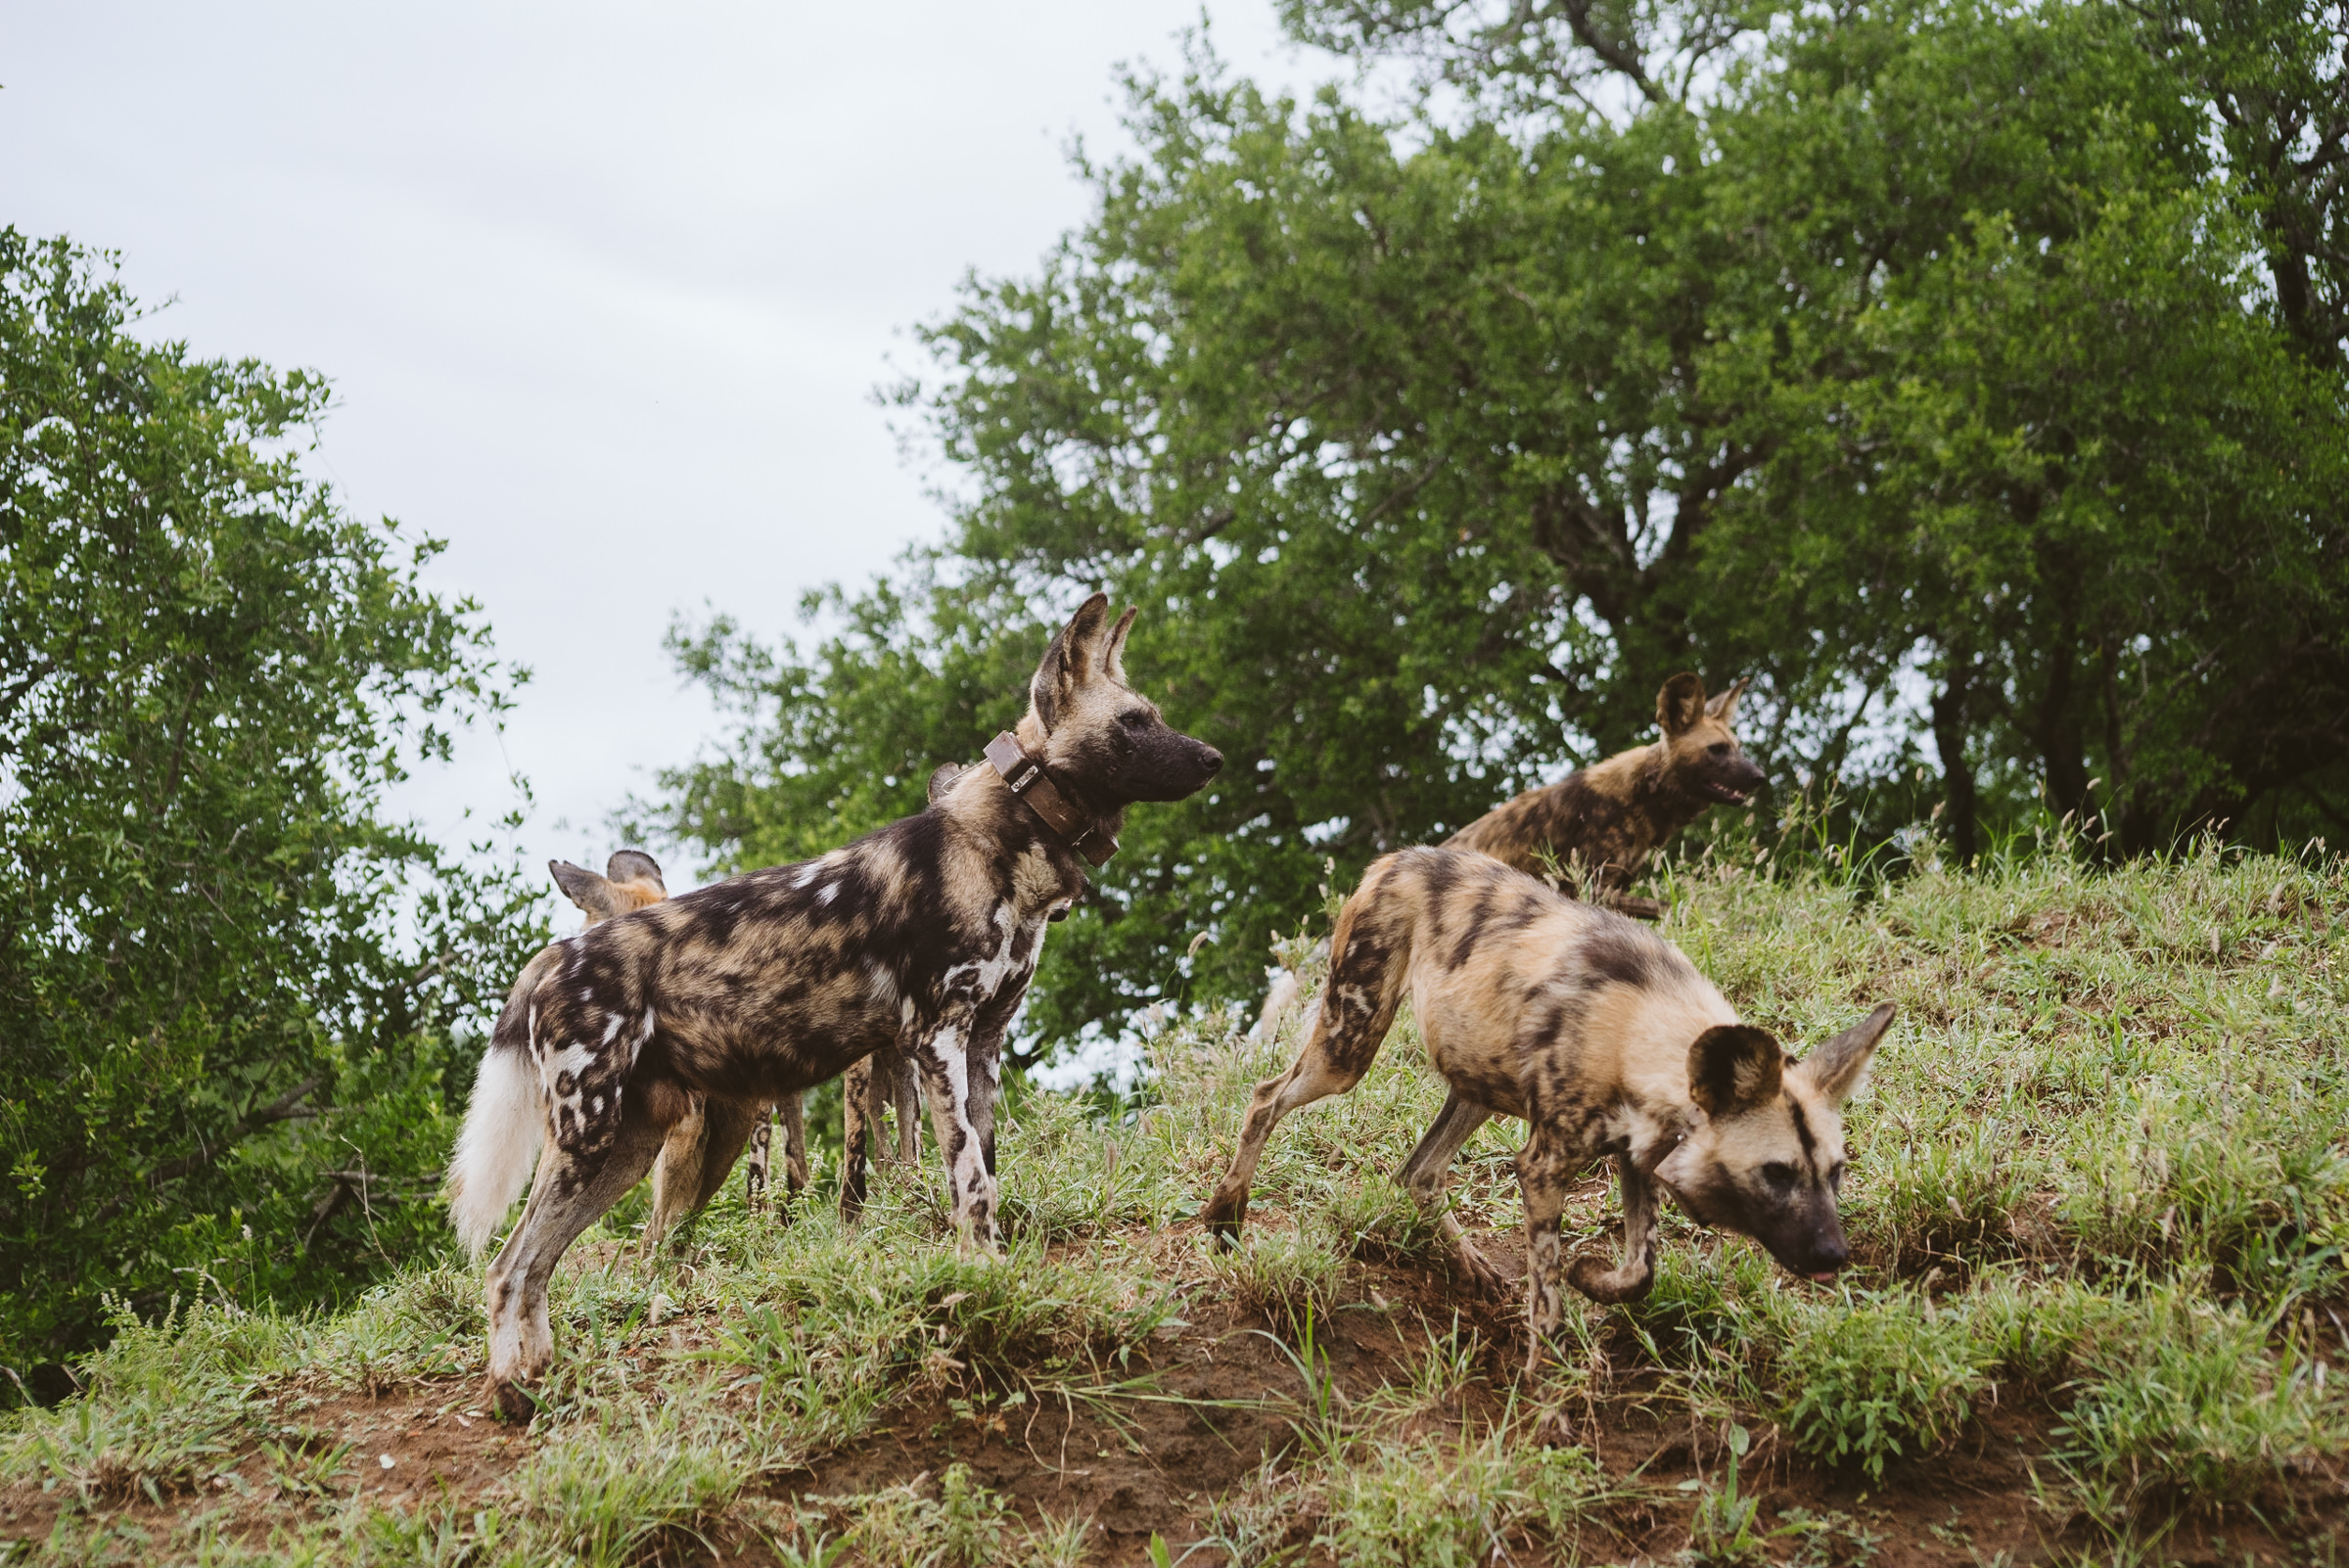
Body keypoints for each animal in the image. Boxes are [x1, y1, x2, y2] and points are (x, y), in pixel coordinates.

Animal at [441, 593, 1221, 1417]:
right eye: (1133, 721)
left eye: (1154, 714)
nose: (1214, 759)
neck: (1004, 840)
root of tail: (560, 949)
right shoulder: (937, 1042)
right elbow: (970, 1183)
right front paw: (982, 1283)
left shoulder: (982, 1049)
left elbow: (986, 1175)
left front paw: (998, 1275)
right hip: (596, 1138)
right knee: (507, 1266)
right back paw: (511, 1395)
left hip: (629, 1148)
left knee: (531, 1266)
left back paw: (534, 1389)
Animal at [1212, 840, 1888, 1360]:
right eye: (1776, 1174)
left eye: (1836, 1172)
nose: (1836, 1254)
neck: (1638, 1032)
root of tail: (1398, 857)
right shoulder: (1542, 1168)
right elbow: (1547, 1303)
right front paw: (1545, 1393)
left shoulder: (1637, 1156)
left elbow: (1638, 1271)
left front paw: (1592, 1277)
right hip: (1348, 1050)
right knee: (1265, 1098)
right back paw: (1226, 1215)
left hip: (1477, 1084)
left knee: (1417, 1173)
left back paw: (1469, 1263)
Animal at [1447, 675, 1766, 920]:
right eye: (1717, 749)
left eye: (1738, 748)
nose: (1759, 776)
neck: (1643, 797)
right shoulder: (1592, 890)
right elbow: (1674, 907)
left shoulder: (1614, 889)